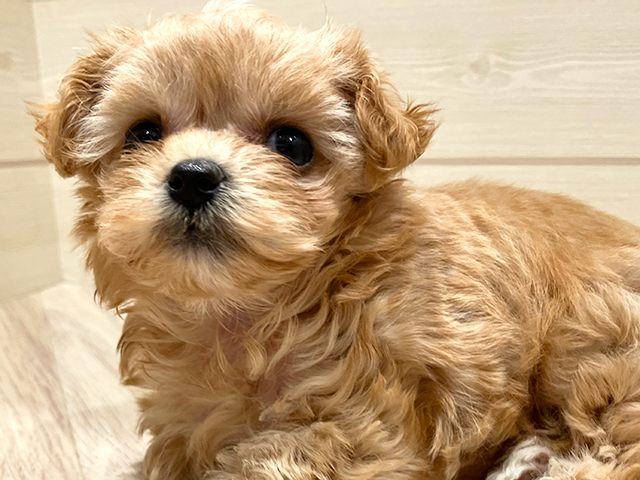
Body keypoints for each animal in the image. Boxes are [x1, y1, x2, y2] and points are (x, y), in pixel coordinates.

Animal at [34, 1, 640, 479]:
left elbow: (274, 460)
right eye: (143, 133)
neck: (250, 315)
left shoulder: (366, 422)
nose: (194, 175)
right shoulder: (186, 419)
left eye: (292, 145)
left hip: (594, 343)